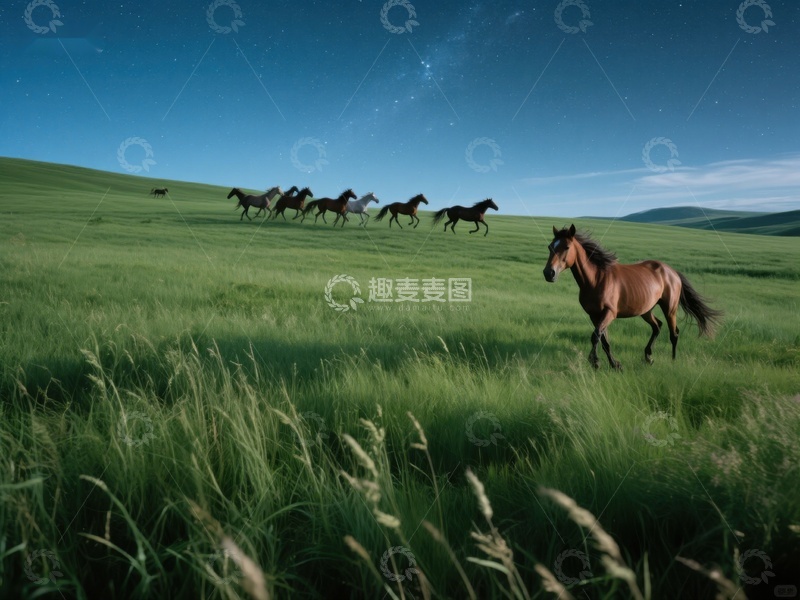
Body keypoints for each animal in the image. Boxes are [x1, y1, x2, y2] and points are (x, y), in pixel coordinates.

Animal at [543, 225, 723, 370]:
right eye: (550, 246)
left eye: (566, 247)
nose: (548, 273)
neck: (596, 279)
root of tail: (672, 272)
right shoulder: (595, 315)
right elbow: (604, 340)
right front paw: (615, 365)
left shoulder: (610, 313)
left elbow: (596, 336)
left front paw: (595, 362)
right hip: (646, 310)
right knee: (657, 326)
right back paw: (648, 357)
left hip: (670, 308)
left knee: (674, 333)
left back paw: (673, 361)